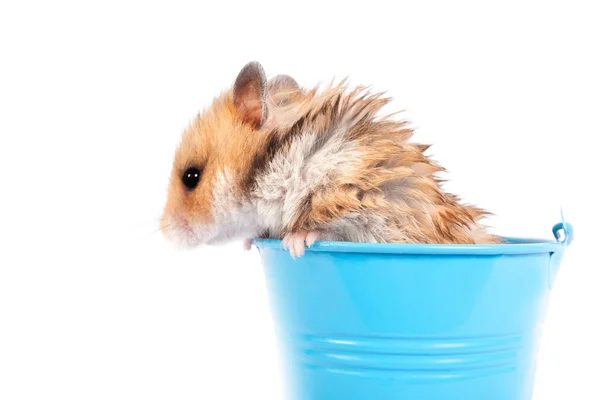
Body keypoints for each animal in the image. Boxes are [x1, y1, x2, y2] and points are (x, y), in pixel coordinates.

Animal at [161, 61, 502, 258]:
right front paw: (251, 243)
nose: (165, 234)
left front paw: (296, 244)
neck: (277, 163)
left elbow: (335, 228)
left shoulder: (365, 203)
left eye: (191, 177)